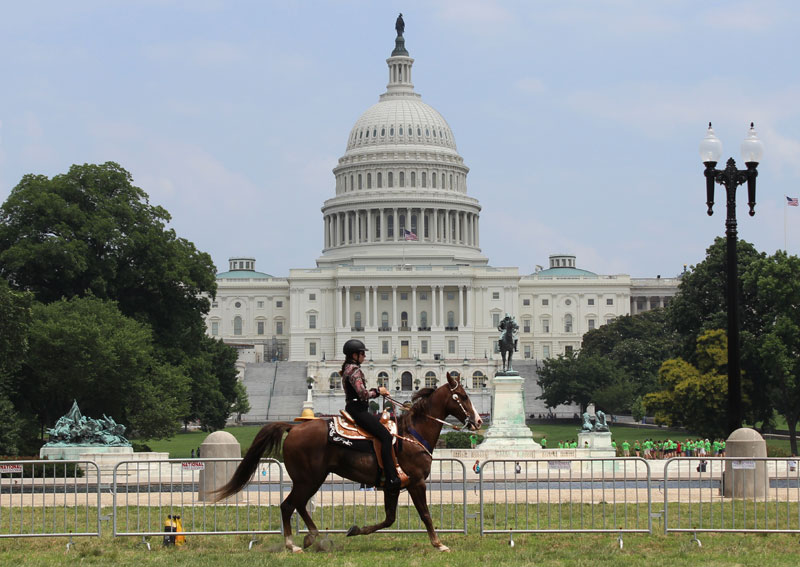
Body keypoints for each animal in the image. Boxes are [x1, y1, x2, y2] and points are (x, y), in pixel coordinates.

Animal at [212, 372, 484, 556]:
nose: (479, 421)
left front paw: (356, 530)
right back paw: (293, 544)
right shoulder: (416, 482)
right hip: (309, 479)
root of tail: (294, 426)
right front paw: (439, 543)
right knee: (288, 505)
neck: (413, 432)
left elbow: (389, 519)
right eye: (462, 396)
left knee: (297, 505)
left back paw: (313, 537)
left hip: (312, 479)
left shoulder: (393, 485)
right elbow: (425, 514)